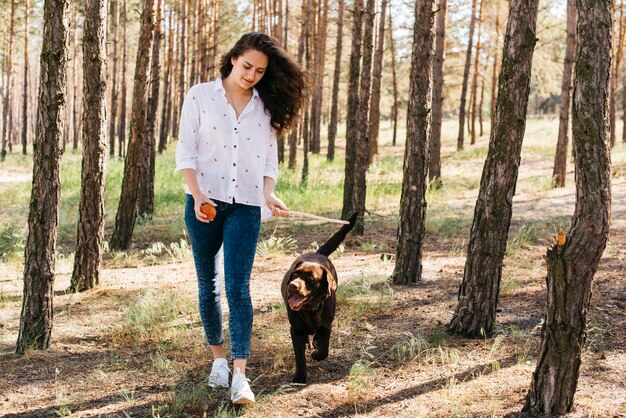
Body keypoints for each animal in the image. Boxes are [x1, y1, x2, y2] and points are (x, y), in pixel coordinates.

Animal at [280, 212, 356, 382]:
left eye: (312, 280)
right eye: (296, 274)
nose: (292, 286)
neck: (311, 310)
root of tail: (317, 253)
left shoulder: (327, 322)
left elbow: (325, 343)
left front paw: (318, 353)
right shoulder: (296, 330)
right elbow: (300, 356)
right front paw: (300, 376)